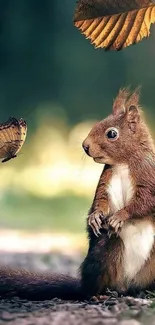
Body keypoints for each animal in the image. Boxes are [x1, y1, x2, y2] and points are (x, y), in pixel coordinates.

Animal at [0, 87, 155, 300]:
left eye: (112, 134)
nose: (85, 146)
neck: (123, 163)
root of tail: (126, 285)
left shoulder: (148, 177)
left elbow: (145, 202)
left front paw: (119, 216)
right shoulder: (105, 181)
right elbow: (101, 200)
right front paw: (95, 217)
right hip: (106, 250)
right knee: (92, 285)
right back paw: (98, 295)